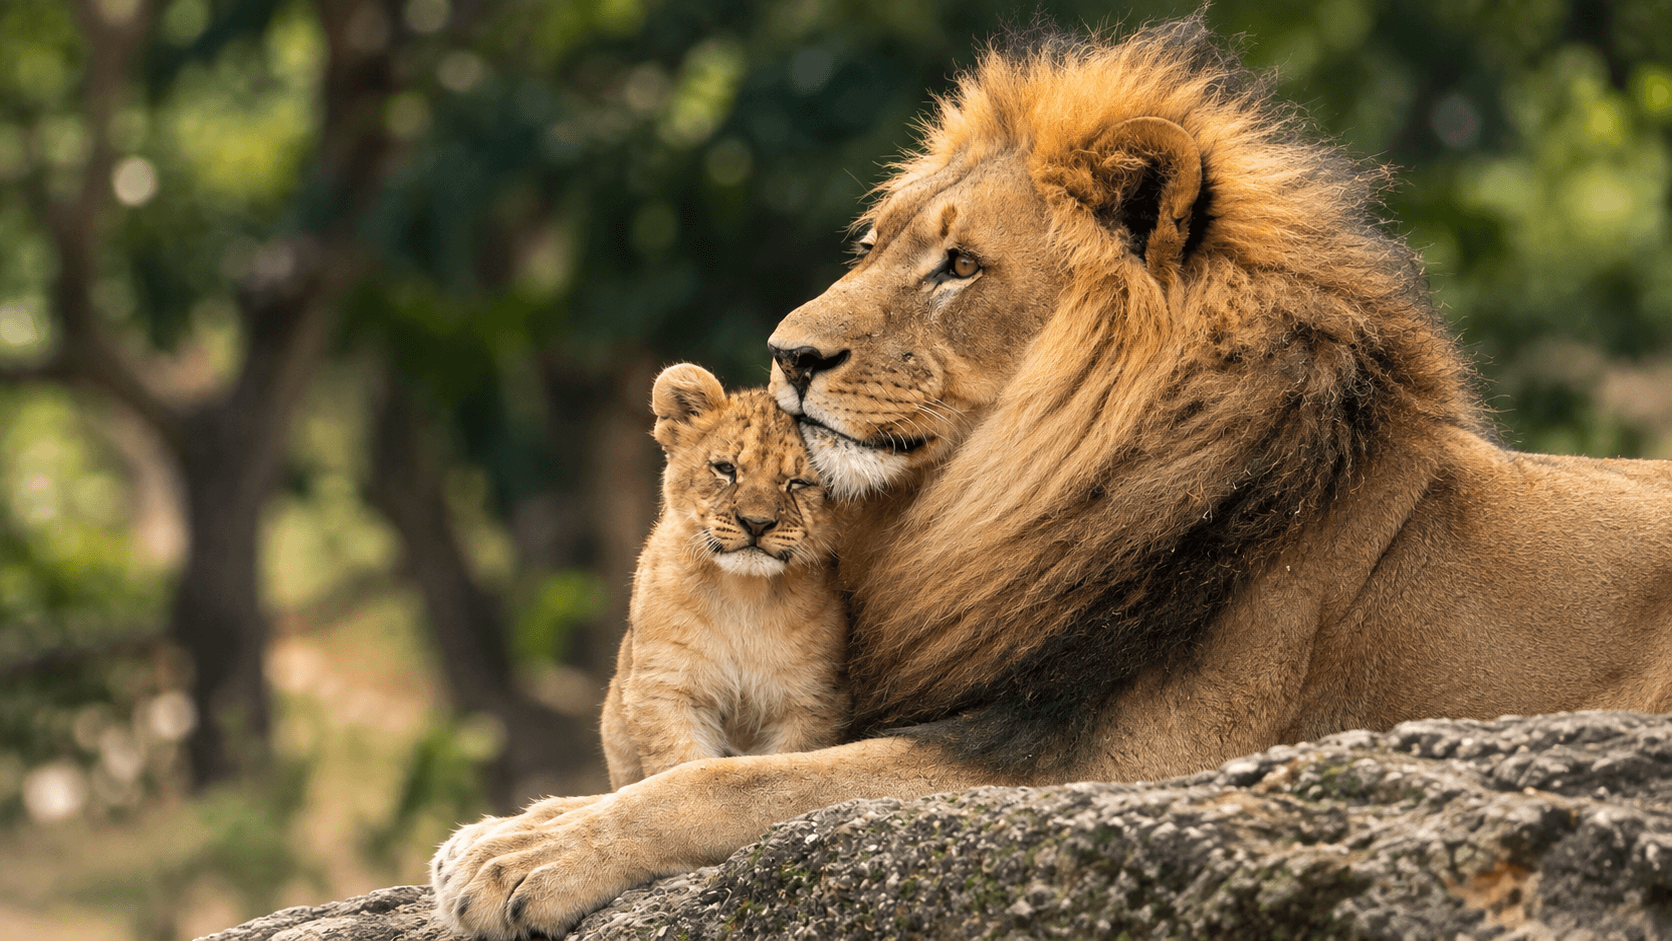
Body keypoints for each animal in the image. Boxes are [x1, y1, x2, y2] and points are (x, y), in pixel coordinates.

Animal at [598, 363, 848, 789]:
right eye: (726, 469)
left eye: (799, 483)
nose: (757, 523)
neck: (744, 594)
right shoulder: (665, 687)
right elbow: (680, 765)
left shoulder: (810, 700)